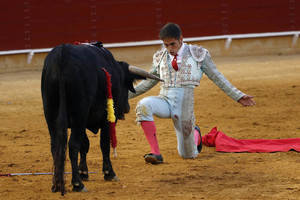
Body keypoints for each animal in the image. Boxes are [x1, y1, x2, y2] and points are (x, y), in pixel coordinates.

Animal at [42, 43, 162, 195]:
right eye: (125, 84)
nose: (126, 108)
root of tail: (62, 54)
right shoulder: (105, 120)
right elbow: (104, 144)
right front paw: (109, 173)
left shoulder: (83, 122)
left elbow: (85, 144)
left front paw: (84, 172)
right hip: (79, 114)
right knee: (72, 145)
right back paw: (77, 184)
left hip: (51, 114)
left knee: (55, 146)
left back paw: (56, 184)